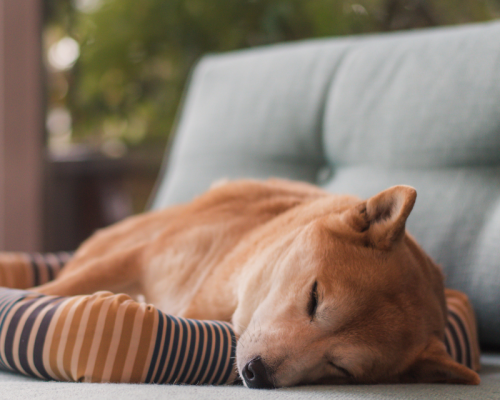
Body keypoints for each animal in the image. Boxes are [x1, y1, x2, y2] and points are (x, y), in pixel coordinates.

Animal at [32, 178, 480, 388]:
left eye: (341, 367)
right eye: (314, 298)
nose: (257, 373)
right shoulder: (141, 258)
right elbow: (51, 291)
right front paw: (31, 297)